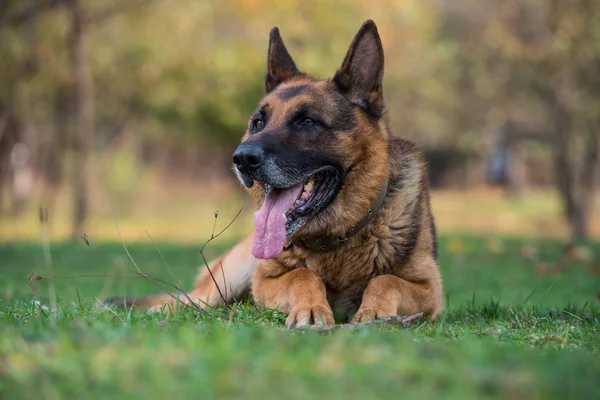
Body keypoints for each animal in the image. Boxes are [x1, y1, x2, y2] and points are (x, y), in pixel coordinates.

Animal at [106, 20, 446, 328]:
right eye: (258, 123)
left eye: (307, 122)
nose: (242, 159)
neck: (338, 239)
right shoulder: (266, 280)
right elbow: (302, 274)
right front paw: (311, 307)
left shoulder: (431, 289)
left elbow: (386, 280)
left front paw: (375, 311)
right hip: (228, 279)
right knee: (187, 300)